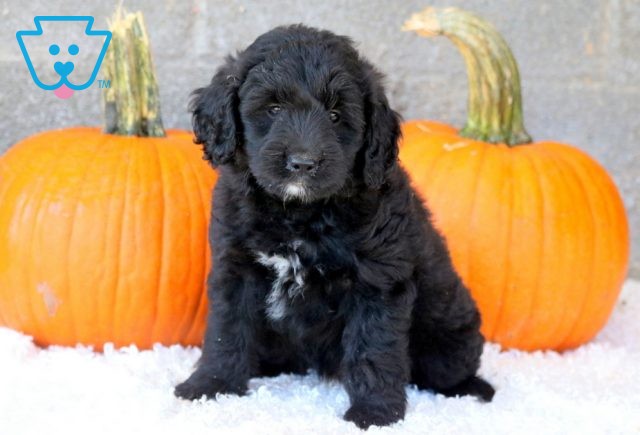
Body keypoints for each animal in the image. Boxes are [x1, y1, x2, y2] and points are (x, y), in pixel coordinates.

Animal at [175, 25, 496, 430]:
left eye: (334, 115)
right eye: (273, 108)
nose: (302, 163)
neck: (299, 214)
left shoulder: (377, 281)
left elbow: (374, 348)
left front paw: (375, 412)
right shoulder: (235, 266)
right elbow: (225, 330)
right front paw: (210, 385)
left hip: (447, 336)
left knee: (449, 368)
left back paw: (475, 389)